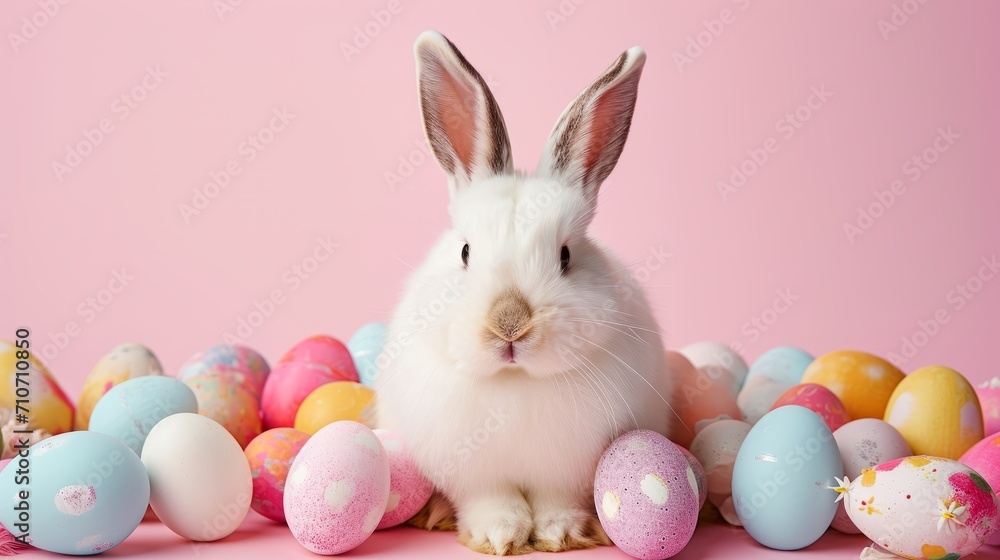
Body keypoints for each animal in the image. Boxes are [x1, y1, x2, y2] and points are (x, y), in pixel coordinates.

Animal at [376, 30, 672, 556]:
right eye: (466, 252)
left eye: (566, 256)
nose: (509, 323)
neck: (516, 384)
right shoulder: (475, 473)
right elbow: (491, 502)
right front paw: (499, 535)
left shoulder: (569, 471)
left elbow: (557, 501)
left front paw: (561, 534)